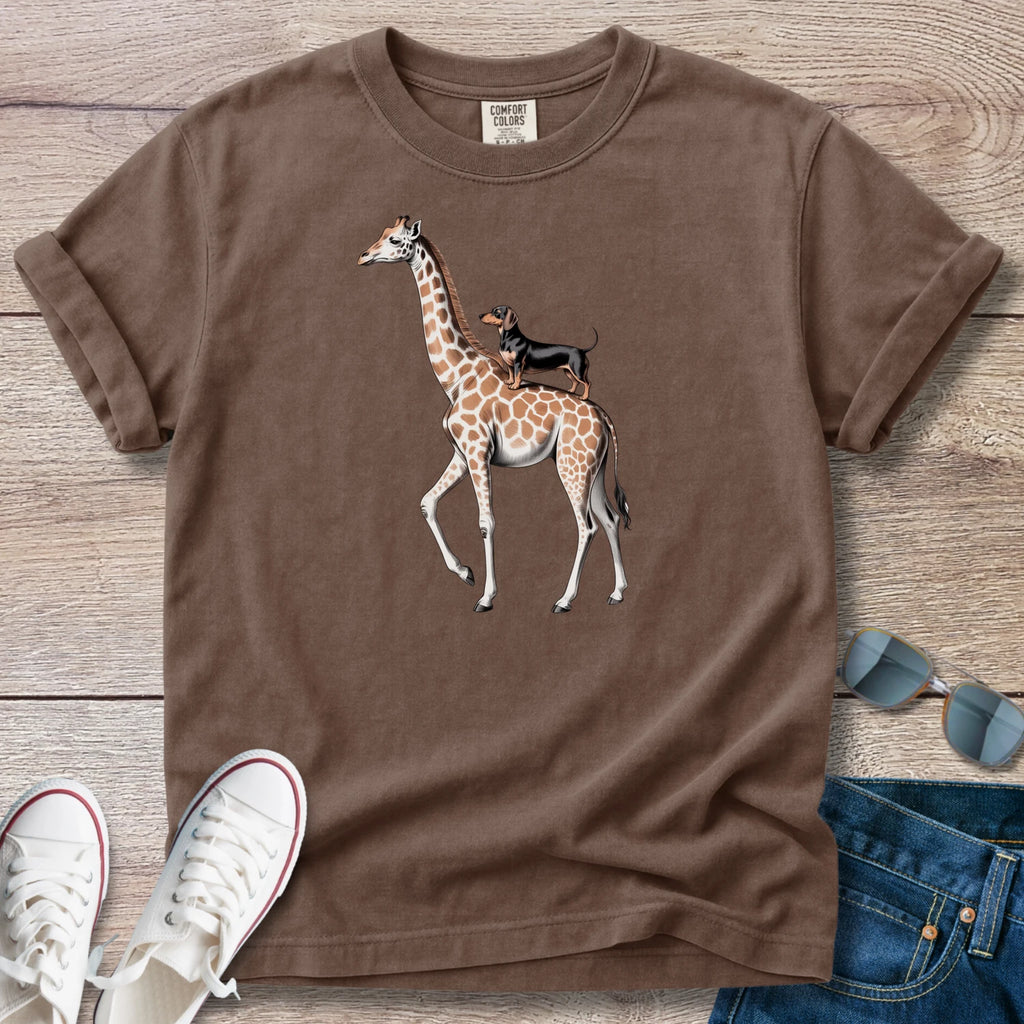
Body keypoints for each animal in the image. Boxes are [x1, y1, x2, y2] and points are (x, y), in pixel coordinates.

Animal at [357, 215, 630, 613]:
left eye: (394, 240)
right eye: (380, 234)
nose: (363, 256)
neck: (455, 376)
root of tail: (604, 418)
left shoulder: (477, 452)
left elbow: (486, 522)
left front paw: (486, 597)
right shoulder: (461, 454)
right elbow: (427, 502)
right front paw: (465, 572)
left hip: (573, 466)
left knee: (587, 525)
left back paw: (564, 600)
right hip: (589, 468)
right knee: (609, 519)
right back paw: (618, 591)